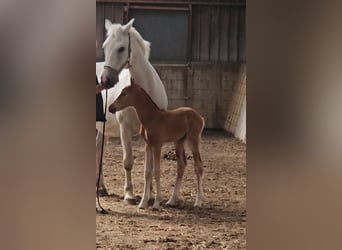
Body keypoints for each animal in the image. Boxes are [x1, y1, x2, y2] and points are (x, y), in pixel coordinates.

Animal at [97, 19, 168, 206]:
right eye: (105, 46)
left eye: (121, 48)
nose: (106, 79)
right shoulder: (125, 130)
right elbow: (128, 162)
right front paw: (129, 194)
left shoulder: (152, 133)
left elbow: (149, 165)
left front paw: (150, 194)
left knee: (99, 149)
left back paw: (101, 187)